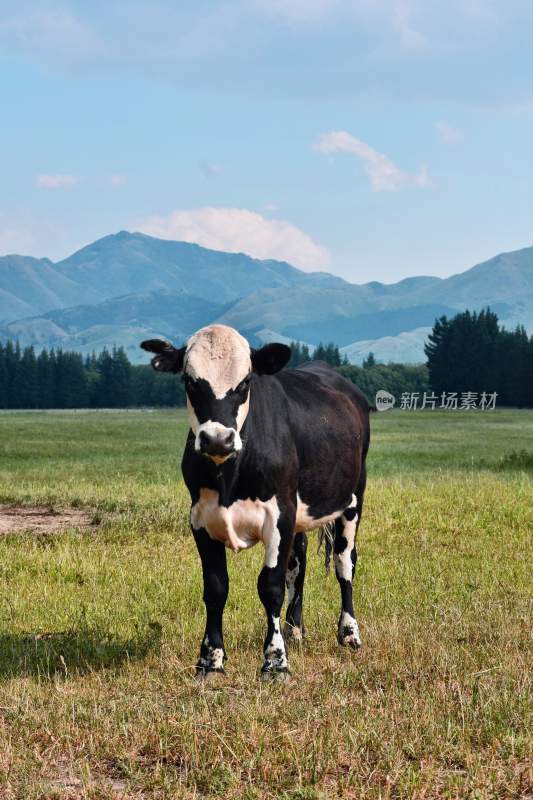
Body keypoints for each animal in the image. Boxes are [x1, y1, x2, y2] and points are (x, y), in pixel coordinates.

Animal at [141, 322, 370, 680]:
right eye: (189, 381)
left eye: (246, 381)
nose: (218, 439)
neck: (228, 477)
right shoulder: (200, 519)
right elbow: (216, 588)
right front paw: (211, 660)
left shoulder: (279, 516)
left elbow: (271, 587)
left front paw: (275, 661)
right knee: (298, 564)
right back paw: (295, 630)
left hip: (352, 499)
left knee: (345, 562)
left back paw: (348, 633)